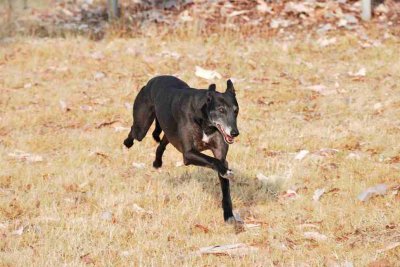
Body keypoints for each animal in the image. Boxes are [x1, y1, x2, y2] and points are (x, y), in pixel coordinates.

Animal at [123, 76, 239, 224]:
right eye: (221, 110)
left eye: (235, 110)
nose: (235, 133)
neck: (204, 120)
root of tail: (153, 80)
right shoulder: (189, 154)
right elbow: (213, 161)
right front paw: (225, 171)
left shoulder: (220, 154)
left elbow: (225, 186)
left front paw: (229, 215)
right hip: (142, 126)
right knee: (134, 130)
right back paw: (127, 143)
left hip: (169, 133)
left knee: (161, 144)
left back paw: (157, 162)